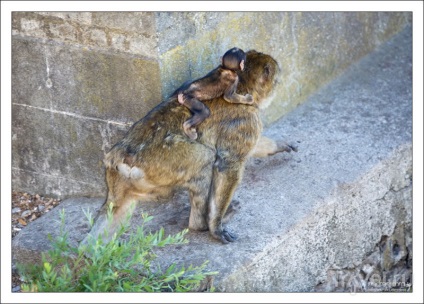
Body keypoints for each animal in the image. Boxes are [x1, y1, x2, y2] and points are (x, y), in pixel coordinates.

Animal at [84, 50, 296, 245]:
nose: (278, 71)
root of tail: (120, 158)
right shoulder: (245, 121)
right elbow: (227, 164)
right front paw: (216, 226)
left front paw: (279, 145)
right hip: (162, 163)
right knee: (205, 159)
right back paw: (200, 224)